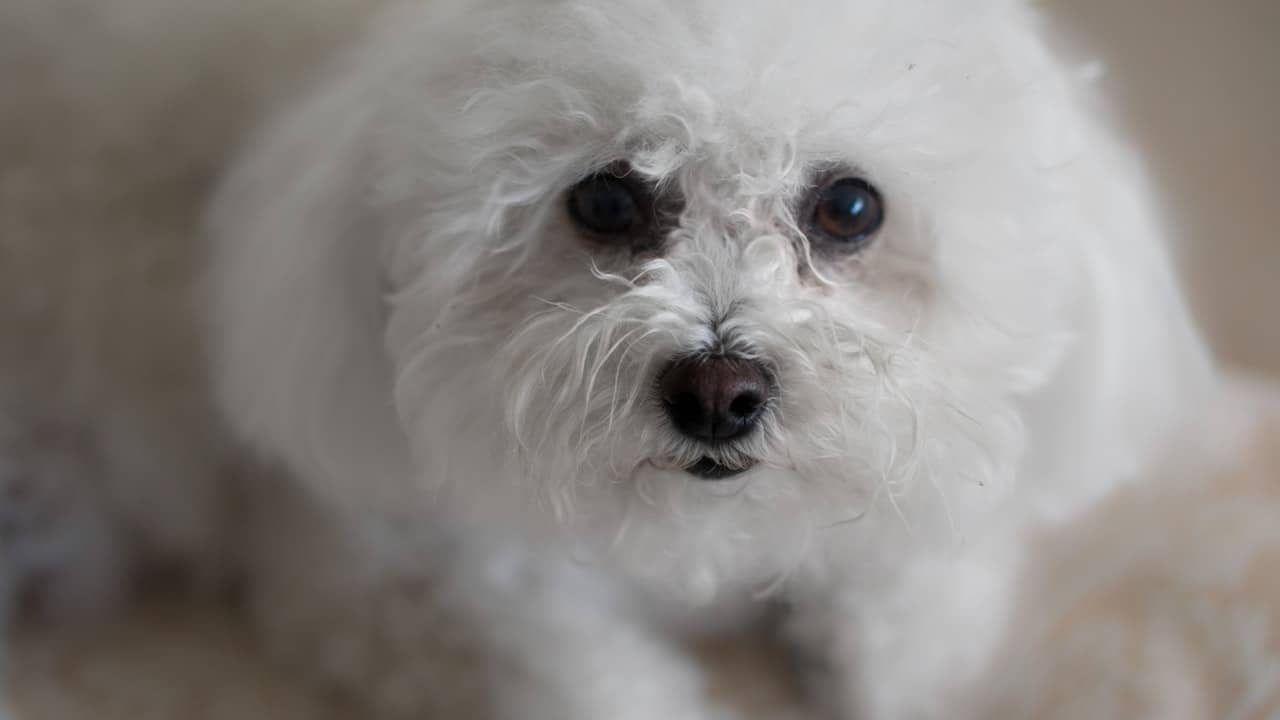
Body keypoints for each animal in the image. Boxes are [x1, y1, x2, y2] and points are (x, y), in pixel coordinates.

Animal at [0, 0, 1218, 712]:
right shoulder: (375, 564)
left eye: (849, 206)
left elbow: (912, 597)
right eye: (604, 199)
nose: (718, 391)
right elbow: (583, 675)